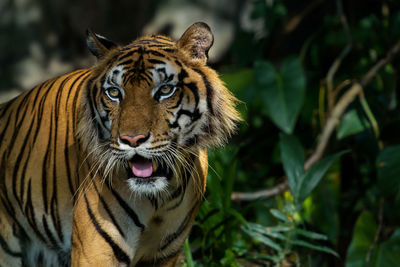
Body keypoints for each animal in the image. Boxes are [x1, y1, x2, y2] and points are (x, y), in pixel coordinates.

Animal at [0, 22, 239, 266]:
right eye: (114, 92)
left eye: (165, 90)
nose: (132, 140)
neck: (159, 200)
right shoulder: (95, 253)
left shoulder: (166, 254)